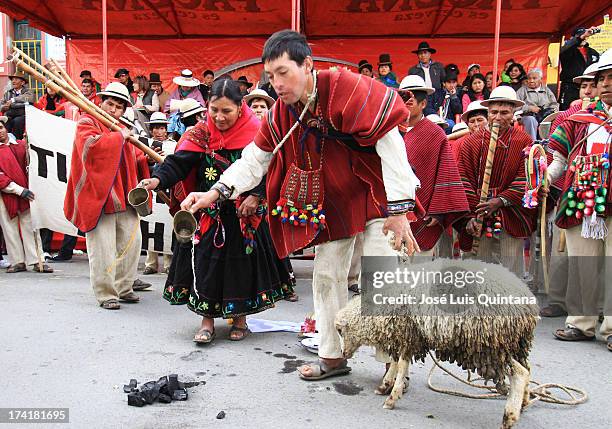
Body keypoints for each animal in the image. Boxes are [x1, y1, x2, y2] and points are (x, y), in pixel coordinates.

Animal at [334, 258, 540, 428]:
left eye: (340, 330)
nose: (343, 354)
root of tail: (527, 302)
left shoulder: (408, 332)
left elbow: (401, 365)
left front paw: (392, 397)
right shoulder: (406, 334)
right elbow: (396, 362)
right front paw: (385, 385)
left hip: (491, 345)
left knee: (520, 373)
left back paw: (509, 417)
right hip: (515, 344)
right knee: (528, 369)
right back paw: (523, 403)